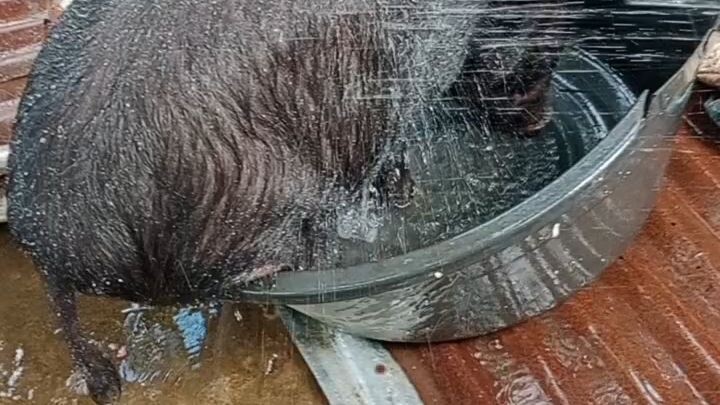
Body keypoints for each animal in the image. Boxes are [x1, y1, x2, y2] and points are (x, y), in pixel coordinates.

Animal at [6, 0, 566, 403]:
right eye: (543, 55)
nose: (541, 124)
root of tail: (50, 248)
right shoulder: (407, 75)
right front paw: (402, 191)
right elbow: (392, 149)